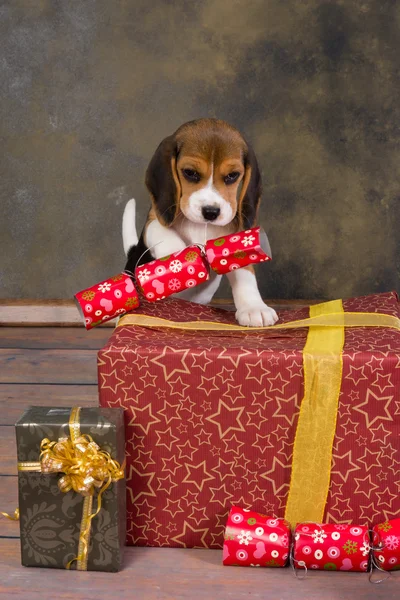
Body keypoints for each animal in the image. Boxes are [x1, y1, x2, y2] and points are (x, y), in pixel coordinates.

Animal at [122, 116, 278, 326]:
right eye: (190, 172)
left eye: (232, 175)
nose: (211, 212)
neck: (202, 226)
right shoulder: (155, 218)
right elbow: (163, 232)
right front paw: (180, 259)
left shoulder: (233, 237)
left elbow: (245, 274)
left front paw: (254, 308)